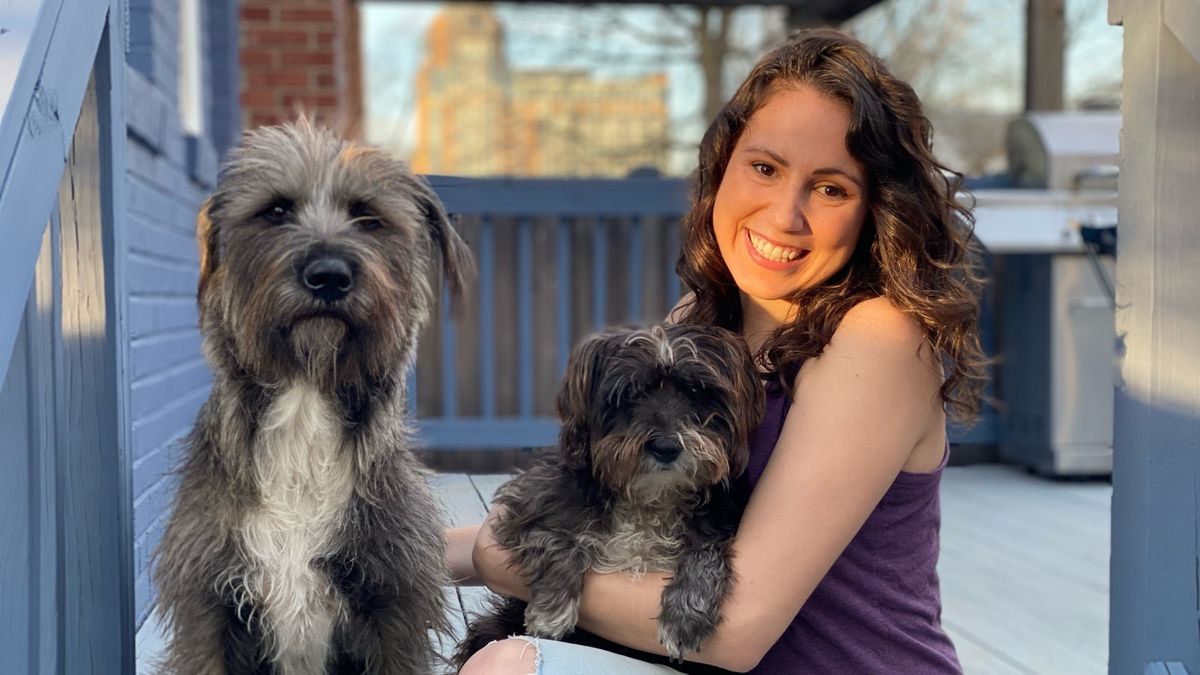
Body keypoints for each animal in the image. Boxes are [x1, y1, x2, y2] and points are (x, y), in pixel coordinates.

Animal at [150, 120, 468, 672]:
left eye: (369, 218)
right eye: (275, 211)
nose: (329, 275)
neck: (305, 404)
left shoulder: (395, 607)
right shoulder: (208, 611)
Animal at [453, 321, 763, 667]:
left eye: (696, 391)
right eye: (631, 392)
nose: (666, 447)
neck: (650, 500)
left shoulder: (717, 529)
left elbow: (706, 554)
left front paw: (685, 617)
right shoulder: (524, 513)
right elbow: (559, 541)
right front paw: (552, 609)